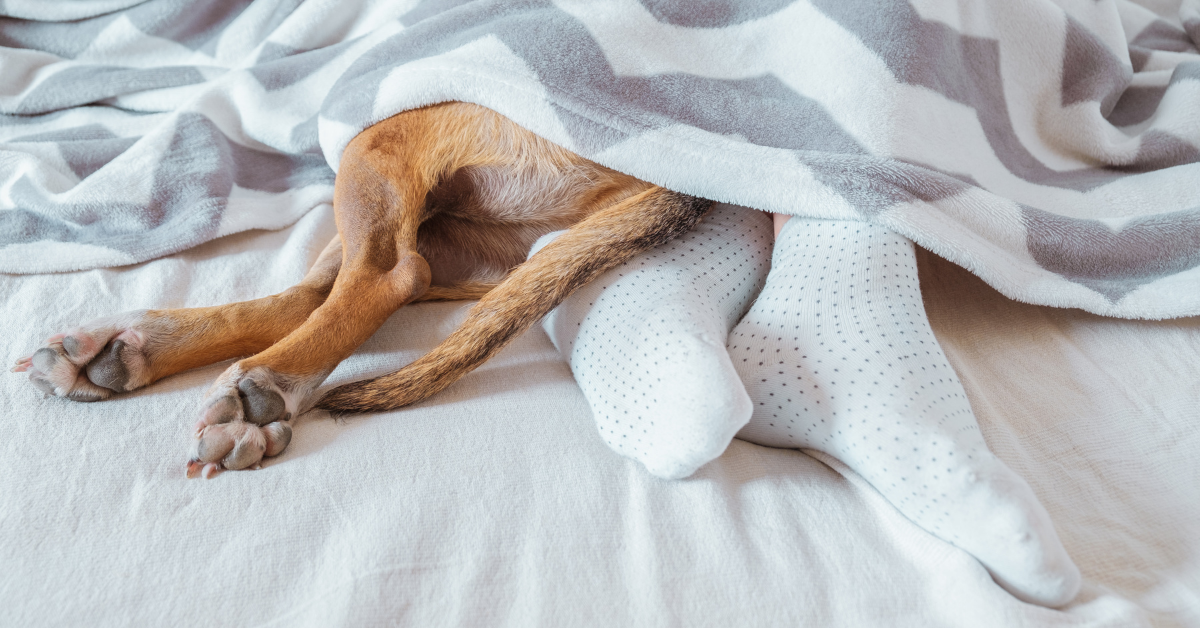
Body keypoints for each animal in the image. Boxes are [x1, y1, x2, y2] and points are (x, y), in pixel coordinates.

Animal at [11, 102, 710, 477]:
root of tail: (684, 186)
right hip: (455, 227)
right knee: (317, 294)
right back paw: (123, 348)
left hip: (380, 142)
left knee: (385, 273)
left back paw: (261, 391)